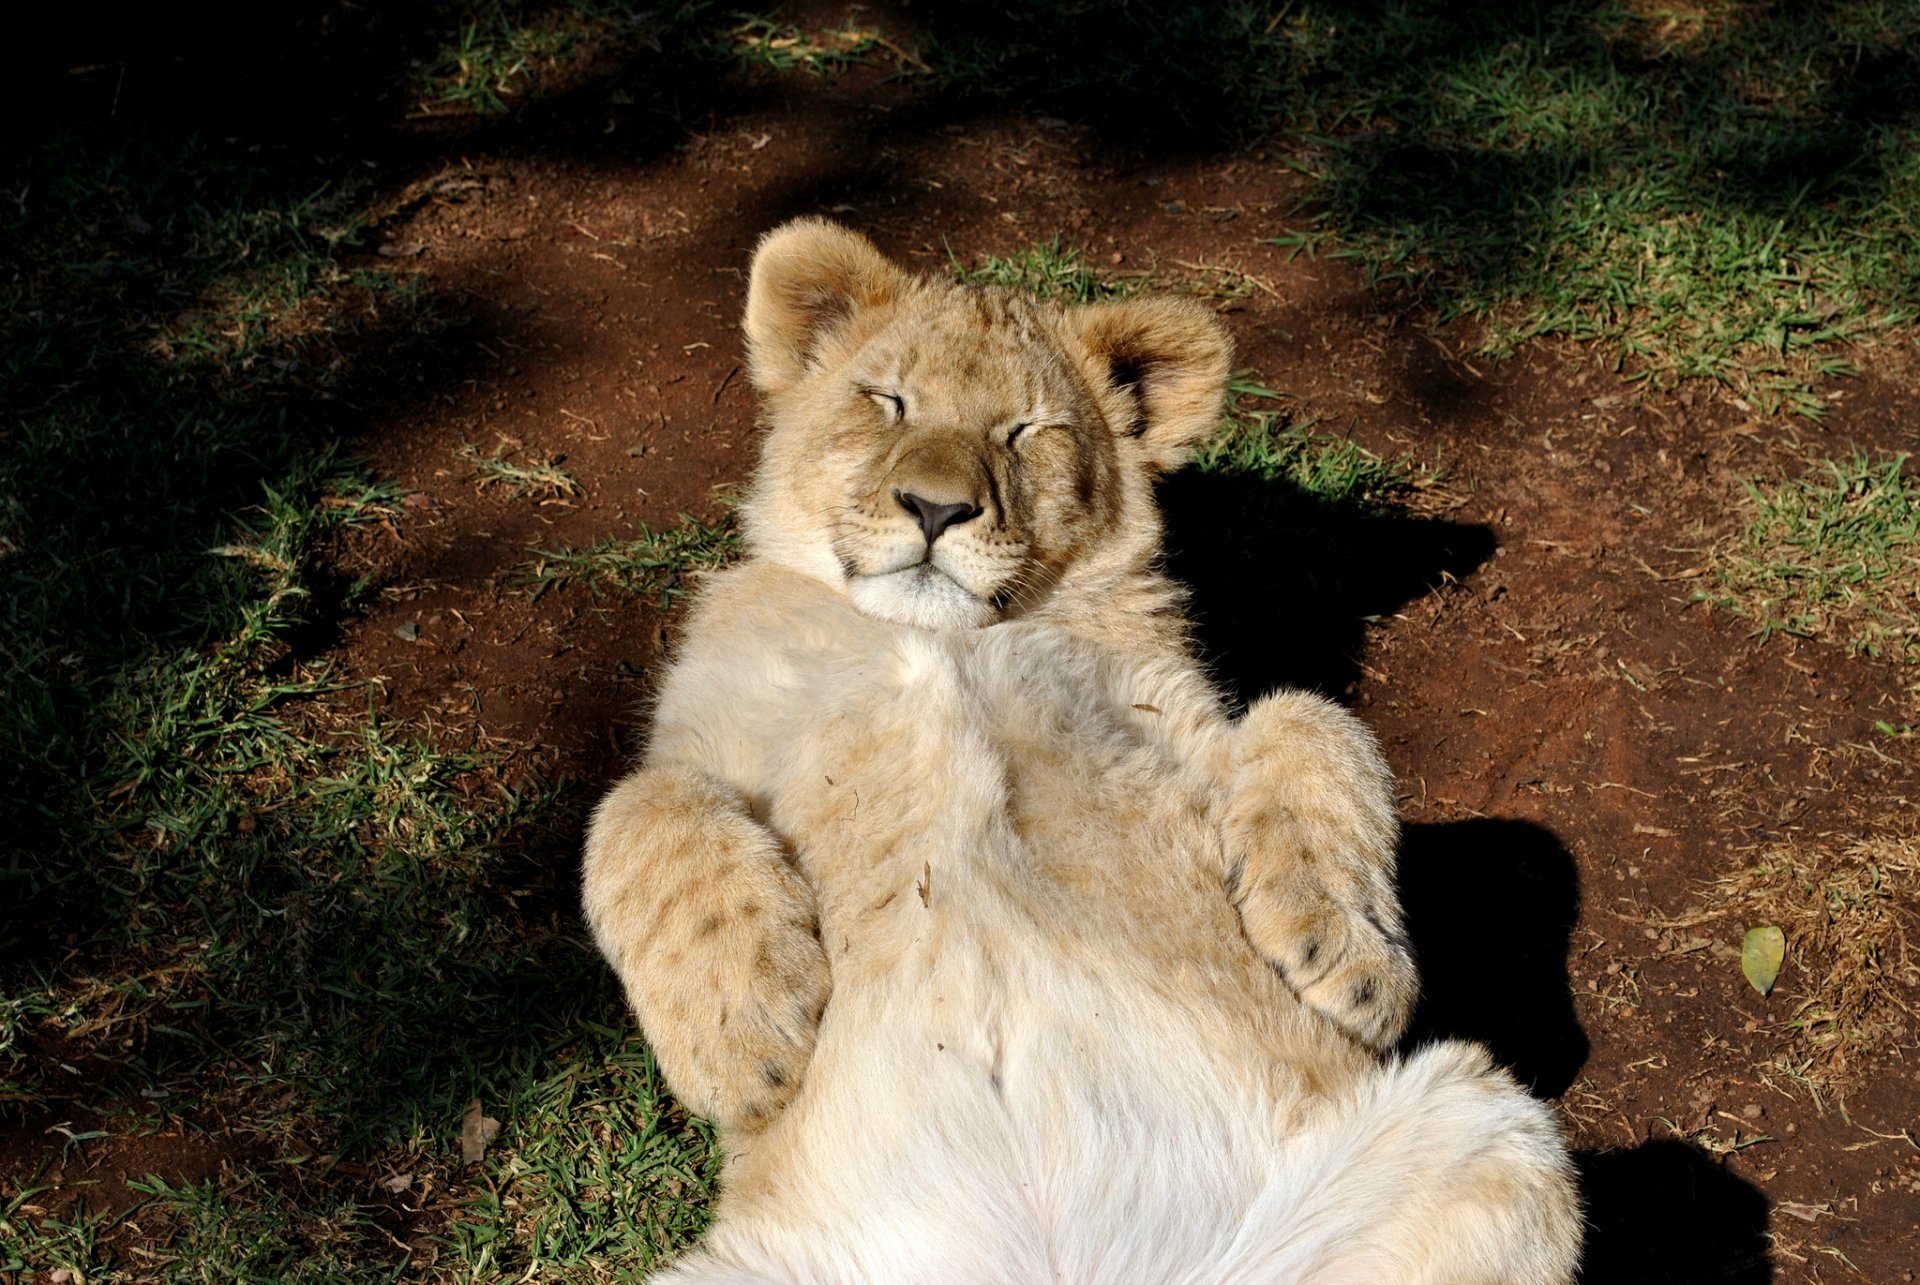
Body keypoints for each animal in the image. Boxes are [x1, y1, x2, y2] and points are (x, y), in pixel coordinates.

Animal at [582, 219, 1582, 1284]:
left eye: (1029, 430)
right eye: (887, 399)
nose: (935, 508)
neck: (946, 640)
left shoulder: (1182, 729)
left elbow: (1317, 721)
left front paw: (1351, 960)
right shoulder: (714, 732)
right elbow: (635, 808)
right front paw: (744, 1038)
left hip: (1497, 1132)